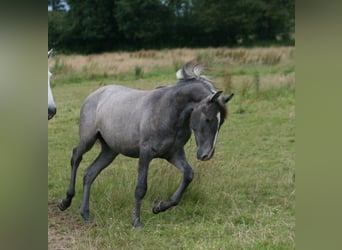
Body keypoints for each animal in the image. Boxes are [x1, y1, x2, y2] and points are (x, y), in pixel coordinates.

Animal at [58, 59, 234, 228]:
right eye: (208, 119)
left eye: (221, 122)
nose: (206, 154)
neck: (168, 111)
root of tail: (95, 95)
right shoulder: (146, 153)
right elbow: (141, 188)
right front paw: (136, 222)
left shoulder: (173, 154)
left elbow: (188, 175)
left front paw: (159, 207)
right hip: (88, 140)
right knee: (76, 157)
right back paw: (65, 201)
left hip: (110, 151)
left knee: (89, 174)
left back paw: (86, 214)